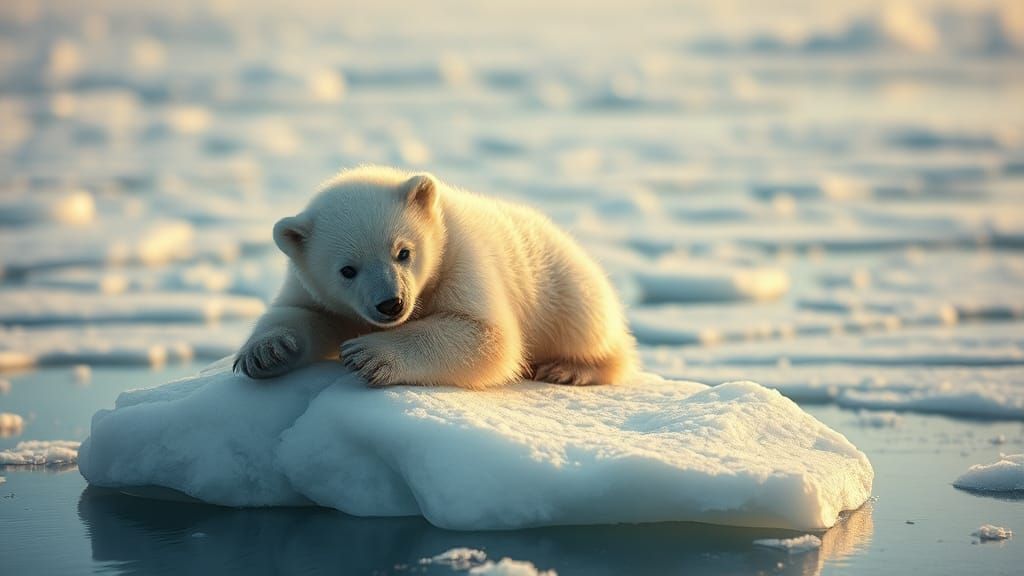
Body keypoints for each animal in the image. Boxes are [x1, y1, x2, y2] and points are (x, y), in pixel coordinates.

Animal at [233, 166, 636, 389]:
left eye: (403, 251)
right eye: (347, 270)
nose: (391, 304)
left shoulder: (461, 258)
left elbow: (486, 334)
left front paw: (369, 355)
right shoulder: (311, 286)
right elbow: (300, 313)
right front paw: (265, 352)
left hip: (568, 291)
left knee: (598, 337)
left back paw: (569, 369)